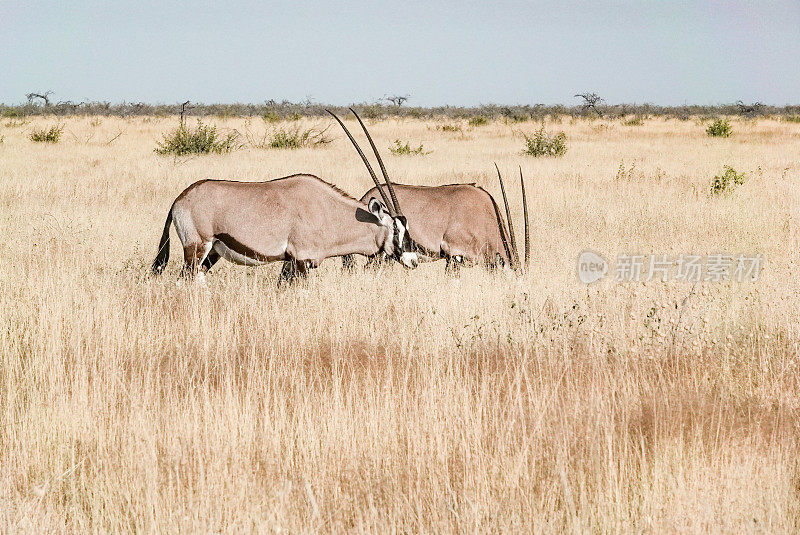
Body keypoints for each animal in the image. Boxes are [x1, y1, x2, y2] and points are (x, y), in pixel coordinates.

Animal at [152, 113, 422, 284]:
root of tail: (180, 199)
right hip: (196, 248)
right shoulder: (301, 260)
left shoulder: (289, 263)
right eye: (396, 231)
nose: (413, 261)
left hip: (213, 252)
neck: (328, 212)